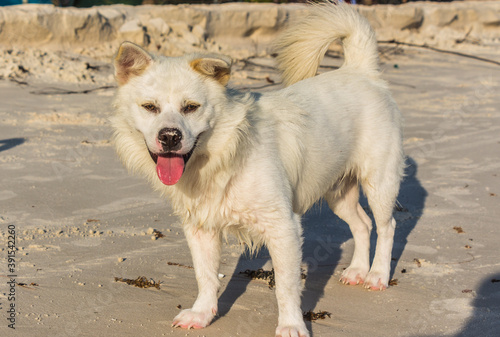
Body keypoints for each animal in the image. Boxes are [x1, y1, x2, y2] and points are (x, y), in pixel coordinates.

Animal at [111, 3, 404, 336]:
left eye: (191, 107)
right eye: (150, 107)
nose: (170, 137)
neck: (223, 154)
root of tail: (361, 71)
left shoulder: (283, 227)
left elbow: (287, 286)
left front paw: (291, 326)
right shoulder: (200, 228)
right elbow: (205, 276)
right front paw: (202, 314)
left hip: (379, 182)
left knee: (386, 226)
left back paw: (377, 275)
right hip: (338, 192)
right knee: (362, 225)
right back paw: (356, 270)